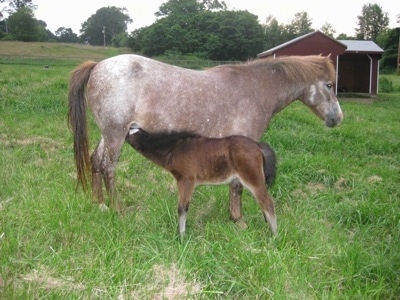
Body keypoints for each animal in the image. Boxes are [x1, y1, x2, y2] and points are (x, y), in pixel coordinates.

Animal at [126, 125, 278, 237]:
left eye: (129, 134)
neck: (174, 148)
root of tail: (257, 145)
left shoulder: (187, 179)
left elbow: (182, 208)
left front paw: (181, 237)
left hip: (252, 178)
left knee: (267, 202)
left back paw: (274, 235)